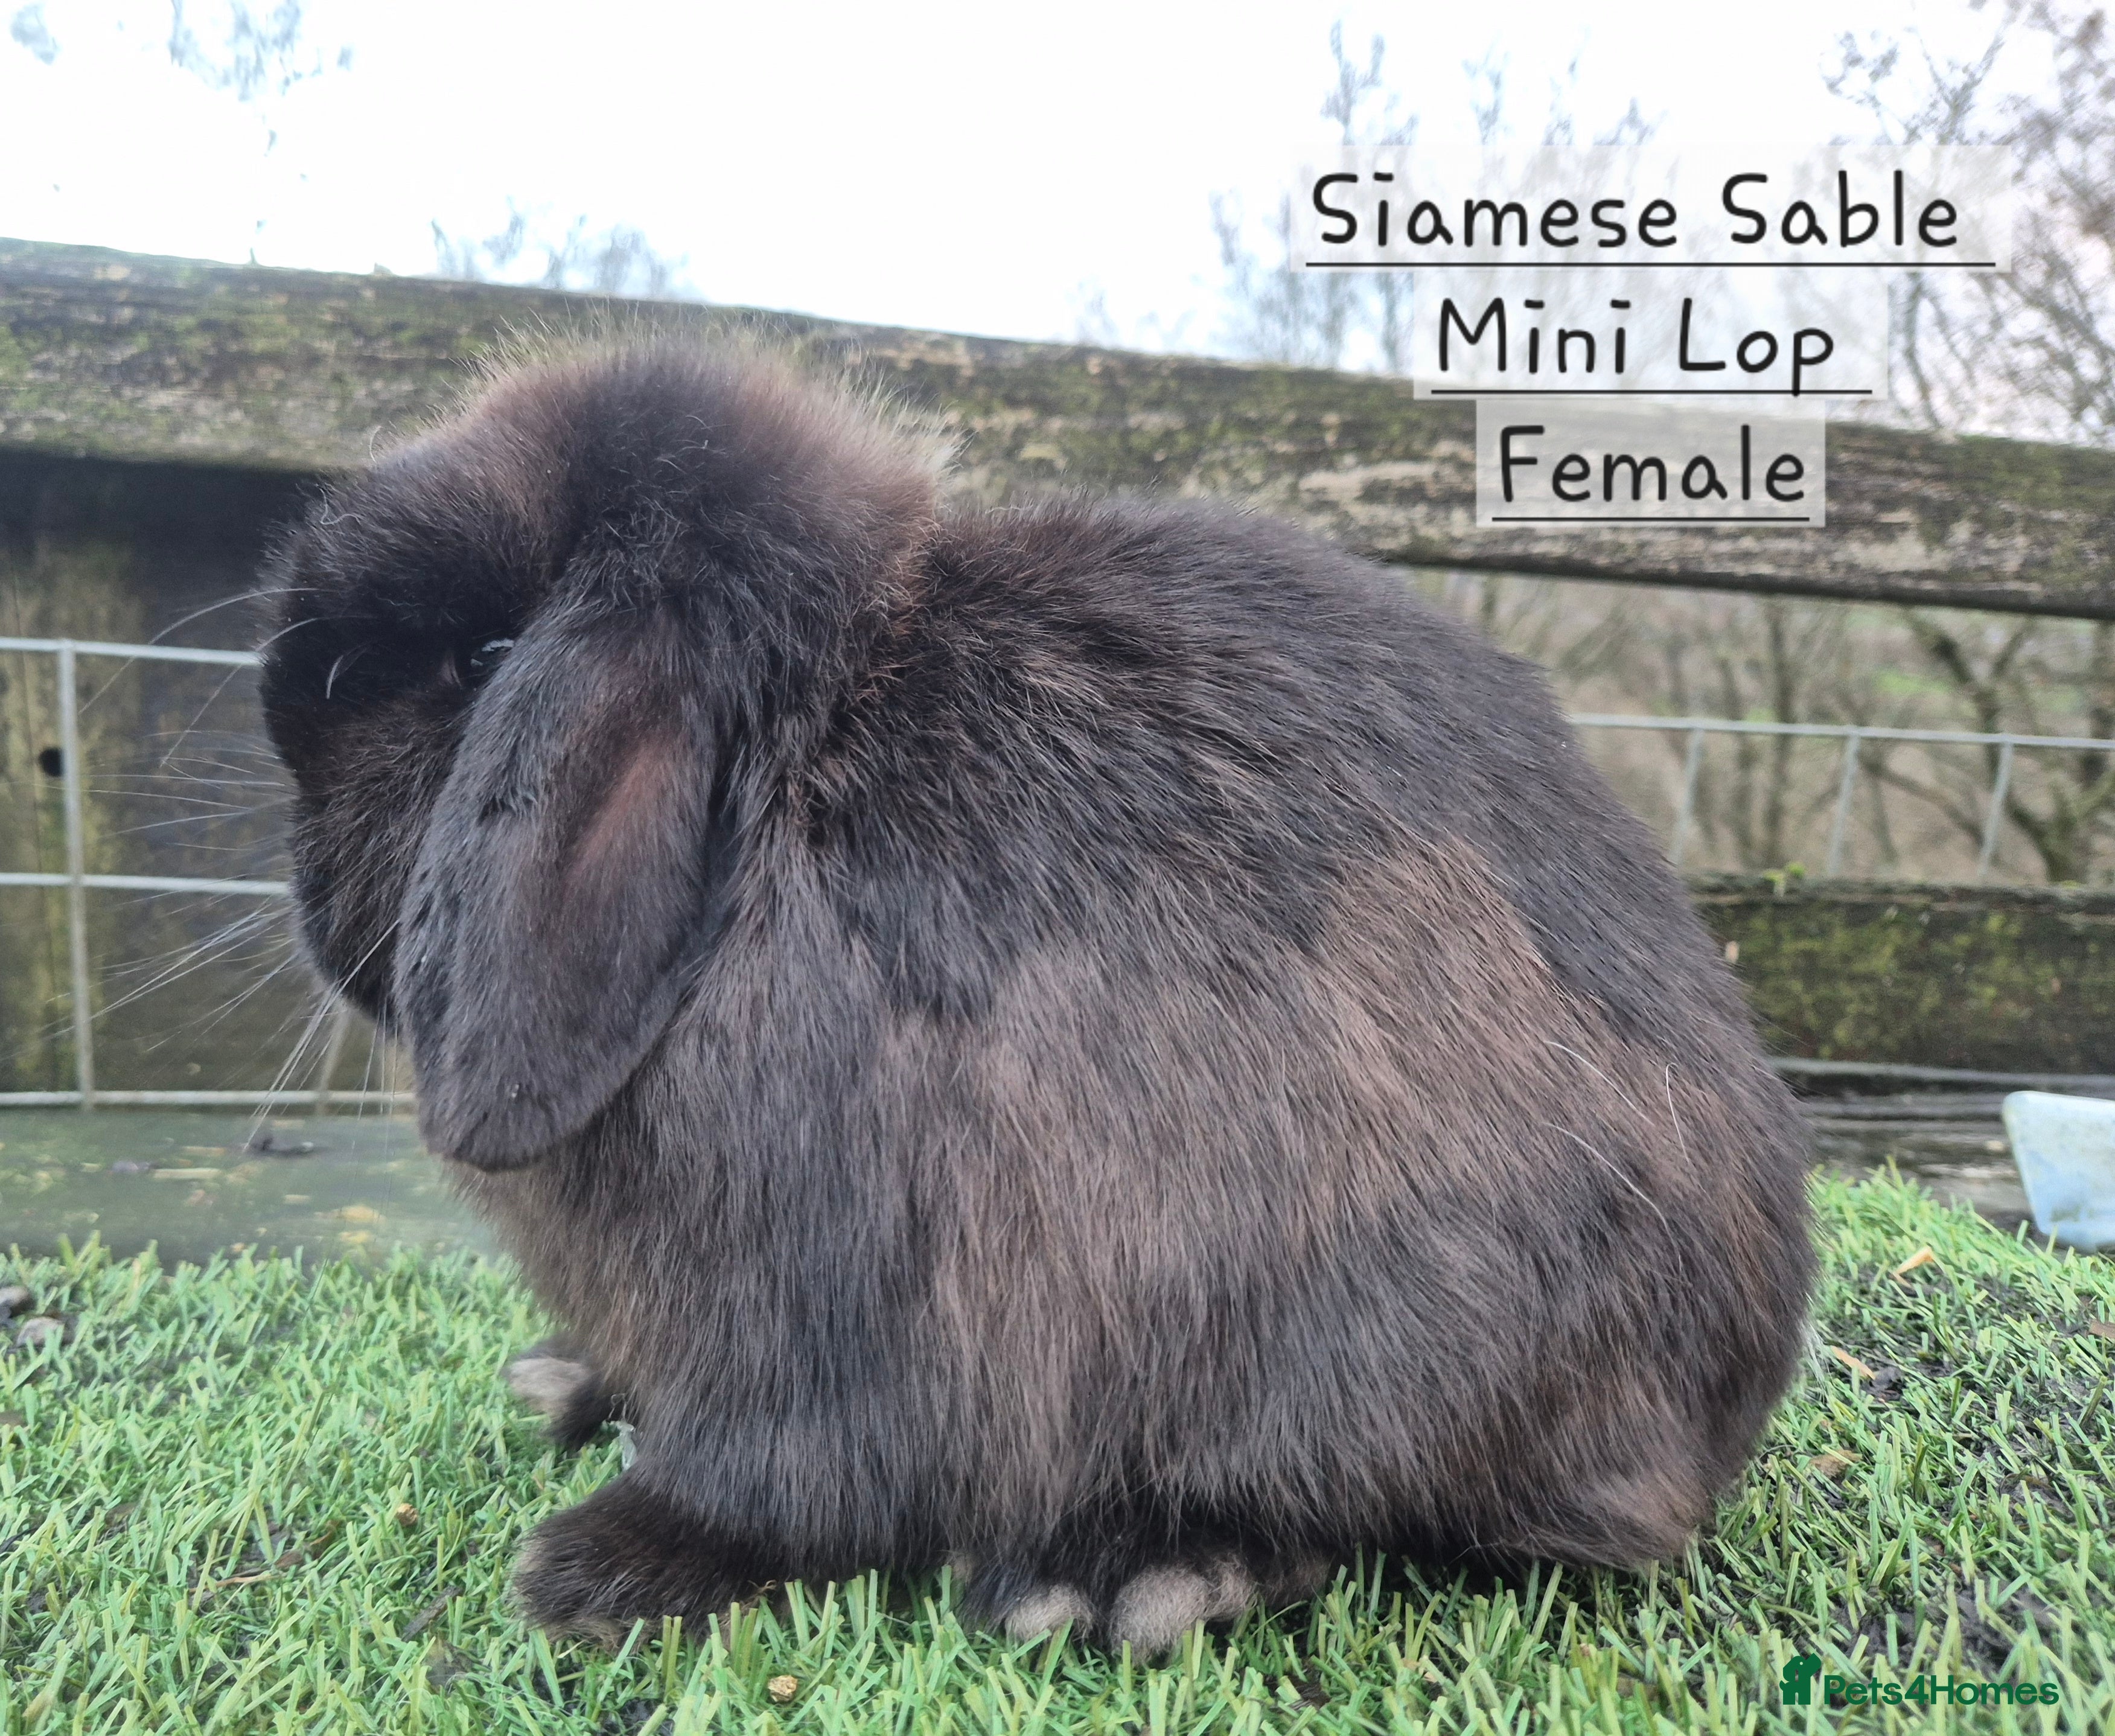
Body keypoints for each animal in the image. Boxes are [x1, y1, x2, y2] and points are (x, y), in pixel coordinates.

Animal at [256, 339, 1813, 1654]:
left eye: (485, 665)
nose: (314, 900)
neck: (780, 793)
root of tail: (1731, 1388)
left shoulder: (824, 1305)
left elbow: (783, 1472)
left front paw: (598, 1564)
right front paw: (570, 1389)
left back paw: (1126, 1577)